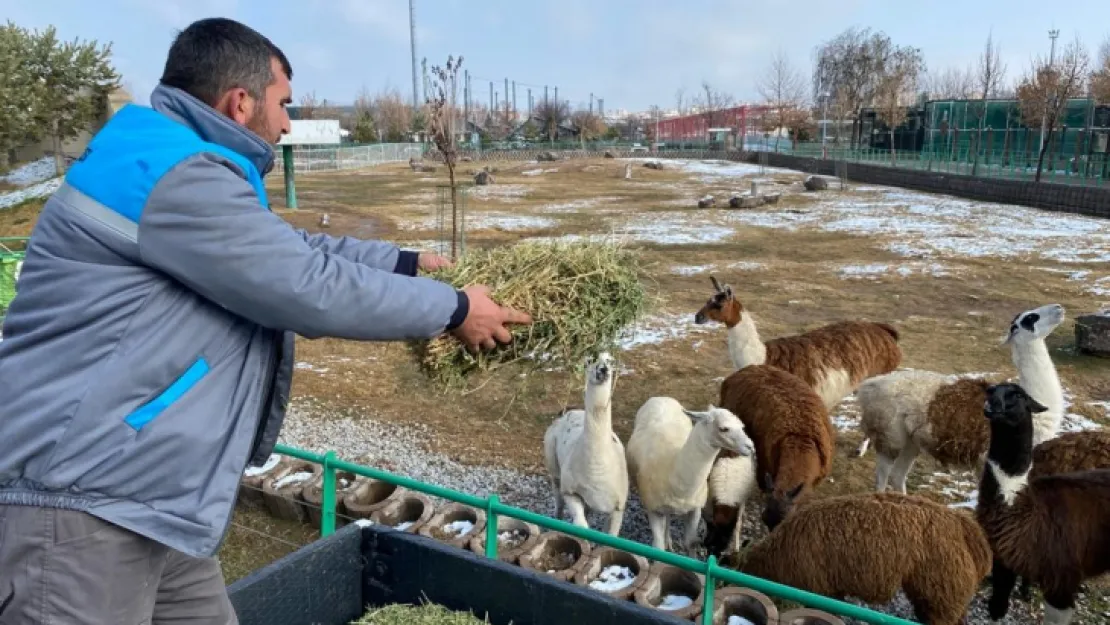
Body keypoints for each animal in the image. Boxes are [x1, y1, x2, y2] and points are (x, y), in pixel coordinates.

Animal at [543, 355, 630, 535]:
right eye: (590, 360)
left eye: (610, 360)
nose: (603, 369)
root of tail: (569, 411)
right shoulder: (571, 491)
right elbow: (581, 526)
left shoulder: (618, 507)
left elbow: (610, 536)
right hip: (553, 465)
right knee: (558, 500)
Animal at [626, 401, 754, 552]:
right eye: (724, 429)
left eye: (742, 427)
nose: (751, 447)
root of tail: (662, 398)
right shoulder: (653, 509)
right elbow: (657, 547)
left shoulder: (696, 510)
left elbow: (690, 543)